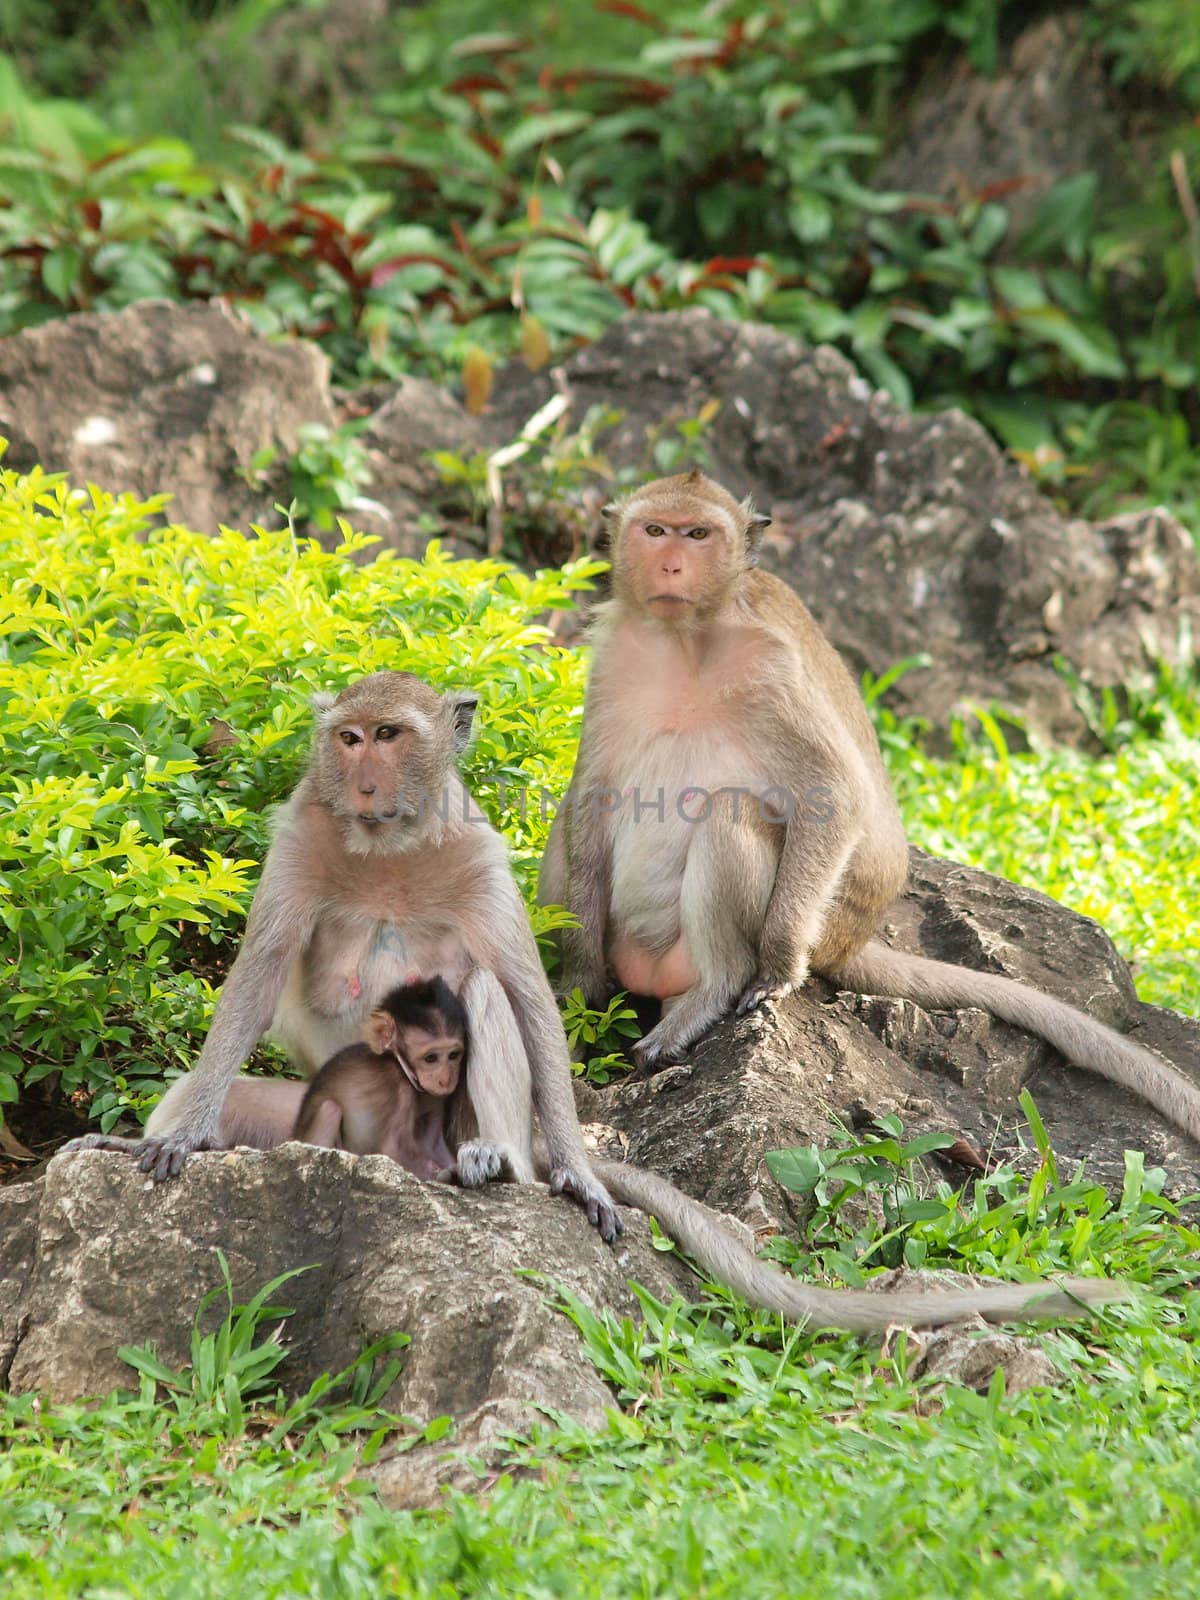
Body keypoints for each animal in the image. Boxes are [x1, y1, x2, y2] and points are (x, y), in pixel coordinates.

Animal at [296, 966, 470, 1184]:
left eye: (454, 1055)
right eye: (431, 1058)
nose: (446, 1079)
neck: (397, 1062)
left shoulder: (436, 1096)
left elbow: (433, 1144)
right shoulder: (398, 1089)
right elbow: (394, 1149)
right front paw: (448, 1175)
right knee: (330, 1109)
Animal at [540, 467, 1200, 1145]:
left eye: (698, 534)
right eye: (655, 531)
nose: (671, 564)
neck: (684, 640)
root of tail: (851, 939)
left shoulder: (770, 666)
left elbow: (836, 791)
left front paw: (777, 968)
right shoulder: (611, 660)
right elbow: (590, 794)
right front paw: (579, 980)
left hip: (803, 927)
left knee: (730, 815)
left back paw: (711, 993)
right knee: (569, 825)